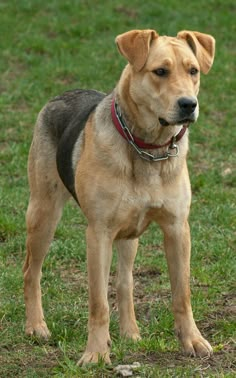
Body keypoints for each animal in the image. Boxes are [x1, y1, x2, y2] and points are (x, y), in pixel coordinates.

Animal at [23, 28, 215, 364]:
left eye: (193, 70)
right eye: (160, 72)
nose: (189, 105)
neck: (148, 148)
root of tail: (62, 94)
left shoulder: (177, 228)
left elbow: (182, 294)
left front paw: (192, 340)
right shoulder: (98, 233)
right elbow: (98, 302)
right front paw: (96, 353)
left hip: (129, 235)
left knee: (125, 282)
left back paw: (130, 333)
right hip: (43, 214)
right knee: (31, 271)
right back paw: (36, 326)